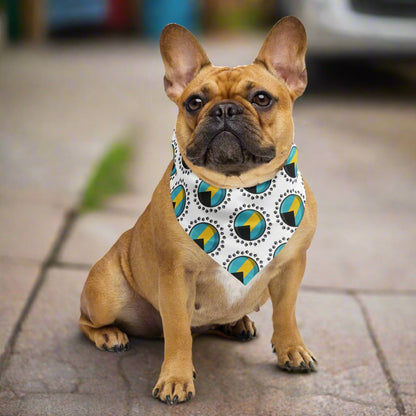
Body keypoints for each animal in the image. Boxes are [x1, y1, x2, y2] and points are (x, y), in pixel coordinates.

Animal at [79, 17, 316, 406]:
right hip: (106, 293)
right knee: (87, 321)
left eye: (262, 98)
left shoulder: (291, 268)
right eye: (194, 102)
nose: (224, 110)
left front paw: (292, 349)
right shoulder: (176, 276)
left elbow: (287, 313)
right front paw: (176, 378)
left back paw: (237, 323)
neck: (237, 191)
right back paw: (110, 335)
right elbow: (178, 332)